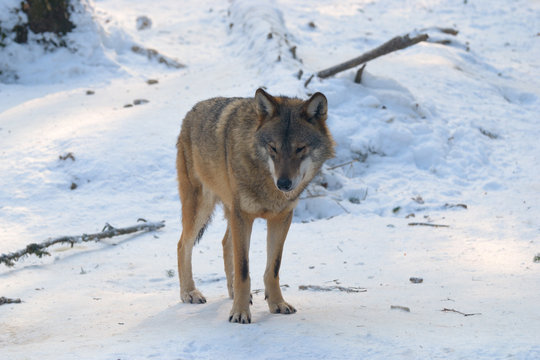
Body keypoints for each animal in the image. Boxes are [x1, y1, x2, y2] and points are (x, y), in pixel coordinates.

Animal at [175, 88, 336, 324]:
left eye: (300, 148)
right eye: (273, 148)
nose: (284, 183)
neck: (268, 186)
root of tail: (191, 111)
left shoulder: (281, 218)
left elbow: (273, 268)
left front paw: (277, 304)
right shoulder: (243, 216)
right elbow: (243, 270)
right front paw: (239, 313)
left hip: (228, 211)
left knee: (225, 243)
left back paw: (232, 292)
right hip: (201, 208)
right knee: (183, 245)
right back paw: (189, 292)